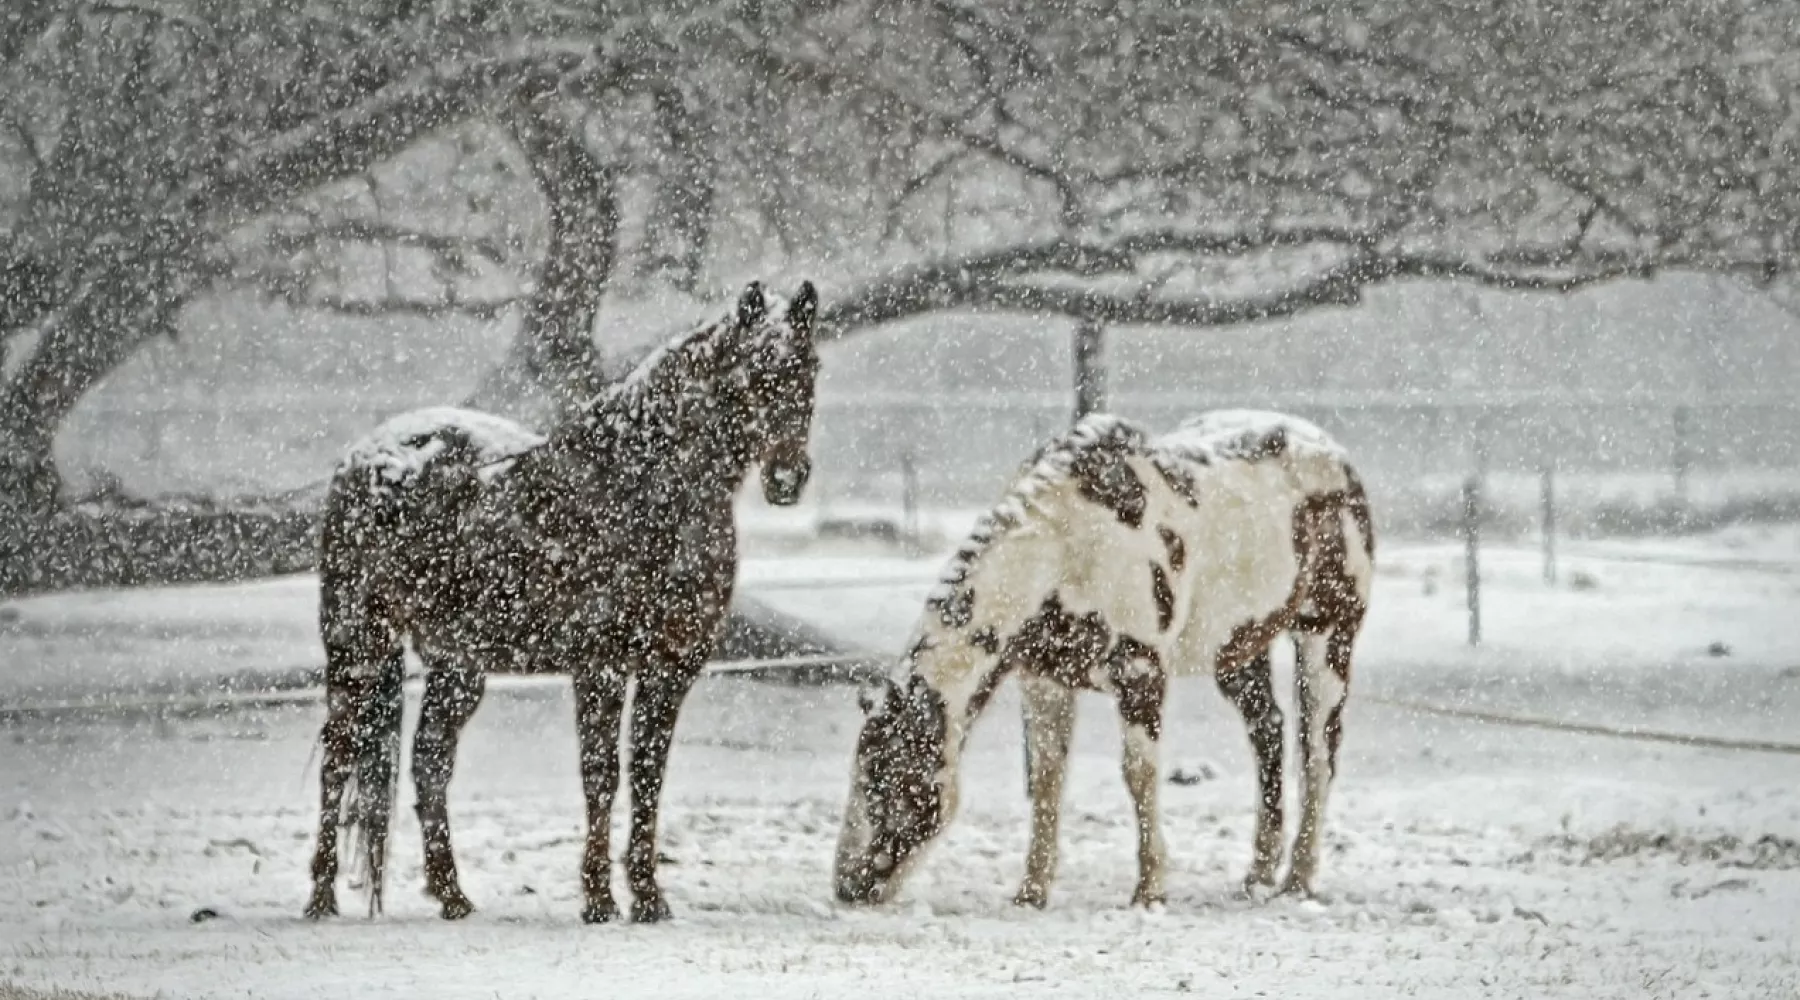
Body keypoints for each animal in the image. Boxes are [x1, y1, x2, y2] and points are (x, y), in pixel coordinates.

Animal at [304, 278, 824, 920]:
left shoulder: (671, 668)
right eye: (752, 371)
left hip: (457, 665)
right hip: (359, 645)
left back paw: (453, 895)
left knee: (429, 762)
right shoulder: (601, 666)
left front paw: (648, 897)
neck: (642, 487)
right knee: (338, 757)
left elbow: (648, 775)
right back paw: (321, 896)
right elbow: (601, 775)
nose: (787, 478)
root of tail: (365, 456)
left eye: (810, 366)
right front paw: (599, 898)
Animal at [835, 410, 1368, 910]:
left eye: (888, 779)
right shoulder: (1045, 681)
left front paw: (1150, 891)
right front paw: (1031, 892)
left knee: (1318, 752)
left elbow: (1138, 774)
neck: (1066, 547)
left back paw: (1298, 880)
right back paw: (1257, 875)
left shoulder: (1140, 674)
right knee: (1269, 733)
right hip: (1238, 651)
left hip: (1327, 638)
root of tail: (1335, 455)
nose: (847, 887)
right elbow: (1047, 779)